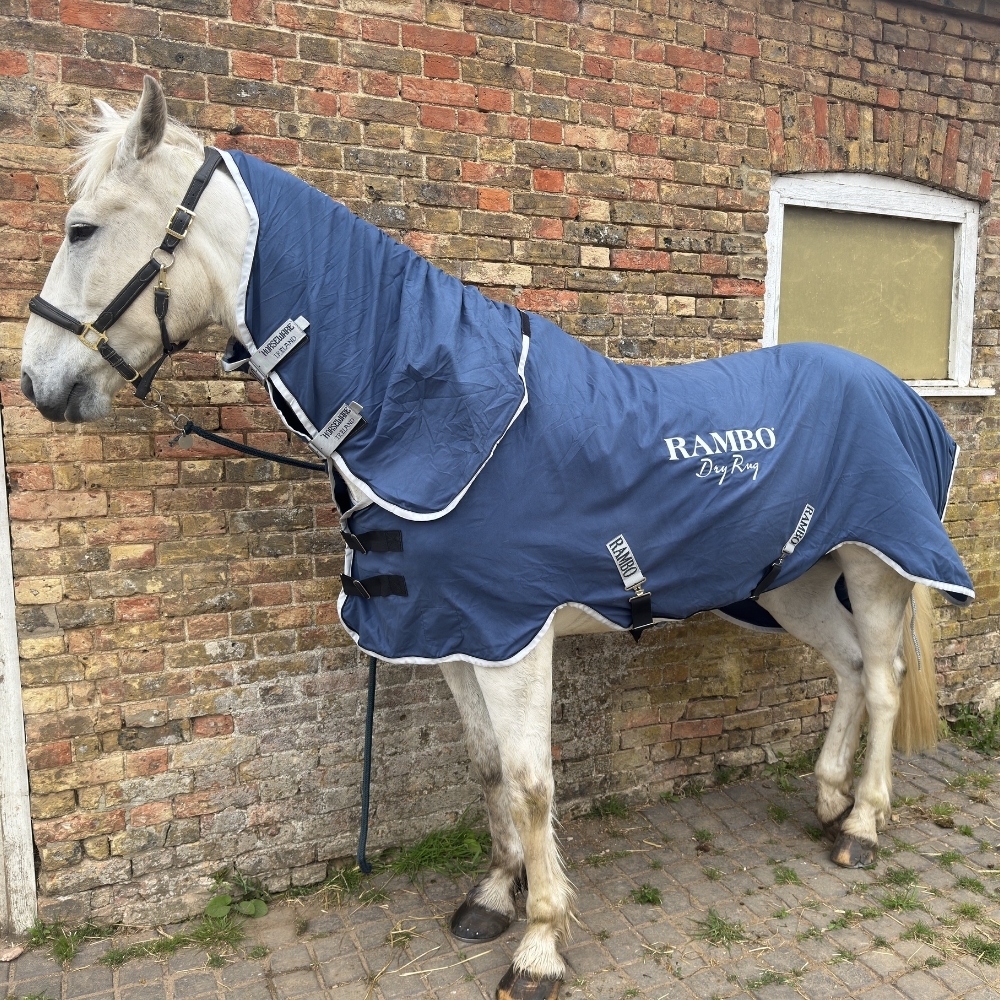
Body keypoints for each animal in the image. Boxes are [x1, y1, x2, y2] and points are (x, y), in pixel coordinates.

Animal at [21, 78, 972, 1000]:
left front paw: (541, 944)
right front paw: (491, 896)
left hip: (876, 571)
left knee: (882, 681)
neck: (435, 409)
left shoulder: (515, 638)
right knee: (847, 669)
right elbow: (485, 772)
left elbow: (530, 781)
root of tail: (898, 391)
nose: (38, 384)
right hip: (791, 580)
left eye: (82, 228)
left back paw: (862, 826)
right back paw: (828, 802)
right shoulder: (453, 634)